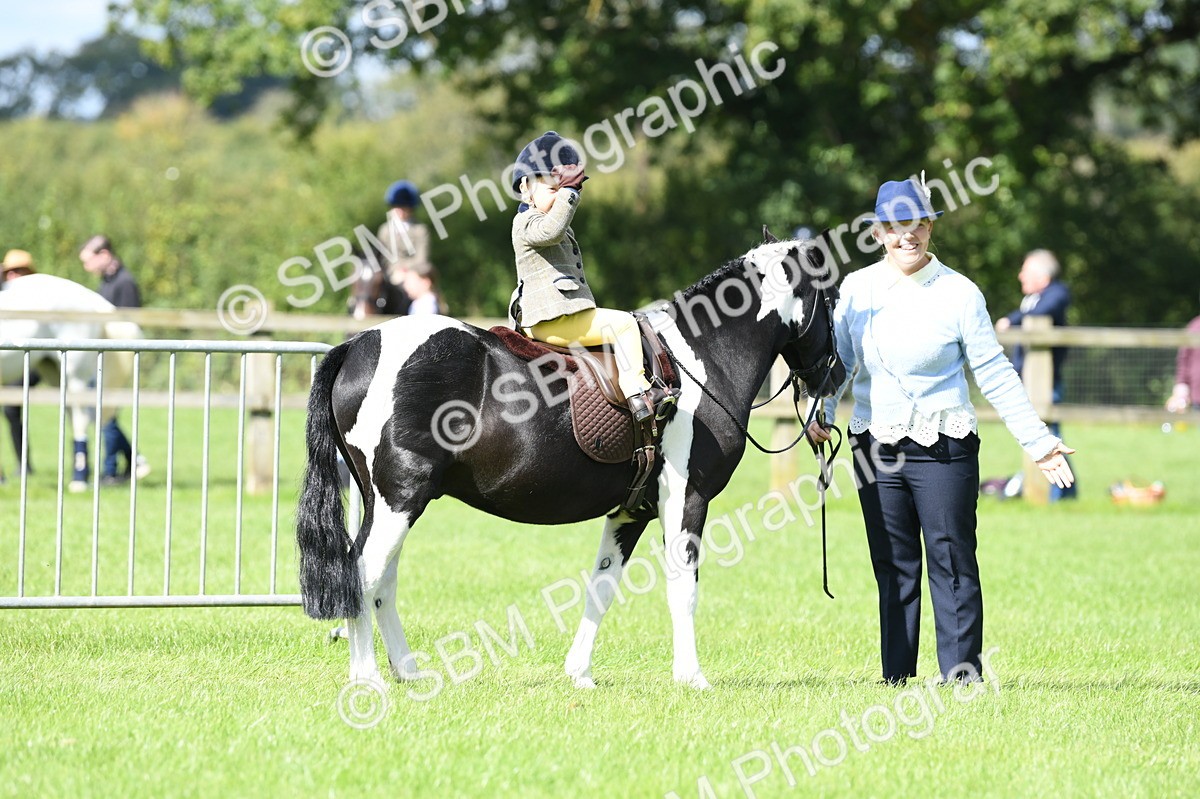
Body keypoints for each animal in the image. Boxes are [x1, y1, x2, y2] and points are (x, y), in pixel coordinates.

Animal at [296, 235, 846, 689]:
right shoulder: (687, 498)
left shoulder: (629, 513)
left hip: (390, 503)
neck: (698, 361)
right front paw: (691, 677)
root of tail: (359, 344)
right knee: (363, 575)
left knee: (381, 582)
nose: (837, 375)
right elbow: (682, 587)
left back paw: (406, 671)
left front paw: (579, 673)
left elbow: (601, 587)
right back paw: (368, 679)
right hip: (400, 499)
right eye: (832, 298)